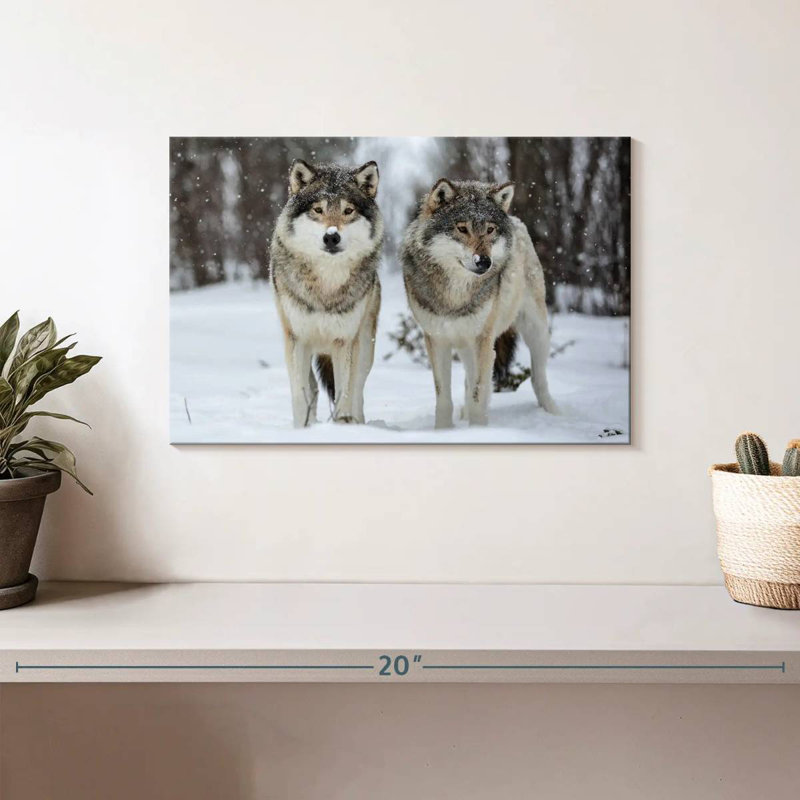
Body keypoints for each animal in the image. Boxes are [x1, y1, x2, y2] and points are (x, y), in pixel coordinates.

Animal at [270, 159, 383, 427]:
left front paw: (343, 425)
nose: (331, 237)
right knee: (312, 389)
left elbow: (345, 394)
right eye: (318, 210)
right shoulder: (296, 339)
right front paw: (301, 429)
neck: (326, 286)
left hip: (365, 347)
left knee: (358, 391)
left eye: (348, 210)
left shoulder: (345, 341)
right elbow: (300, 396)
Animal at [401, 178, 557, 428]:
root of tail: (516, 220)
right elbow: (444, 398)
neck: (455, 294)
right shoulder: (437, 341)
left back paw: (553, 413)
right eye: (462, 228)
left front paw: (477, 430)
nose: (484, 262)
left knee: (537, 378)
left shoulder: (482, 341)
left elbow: (478, 394)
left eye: (490, 229)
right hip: (466, 345)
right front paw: (443, 431)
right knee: (468, 380)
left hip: (535, 331)